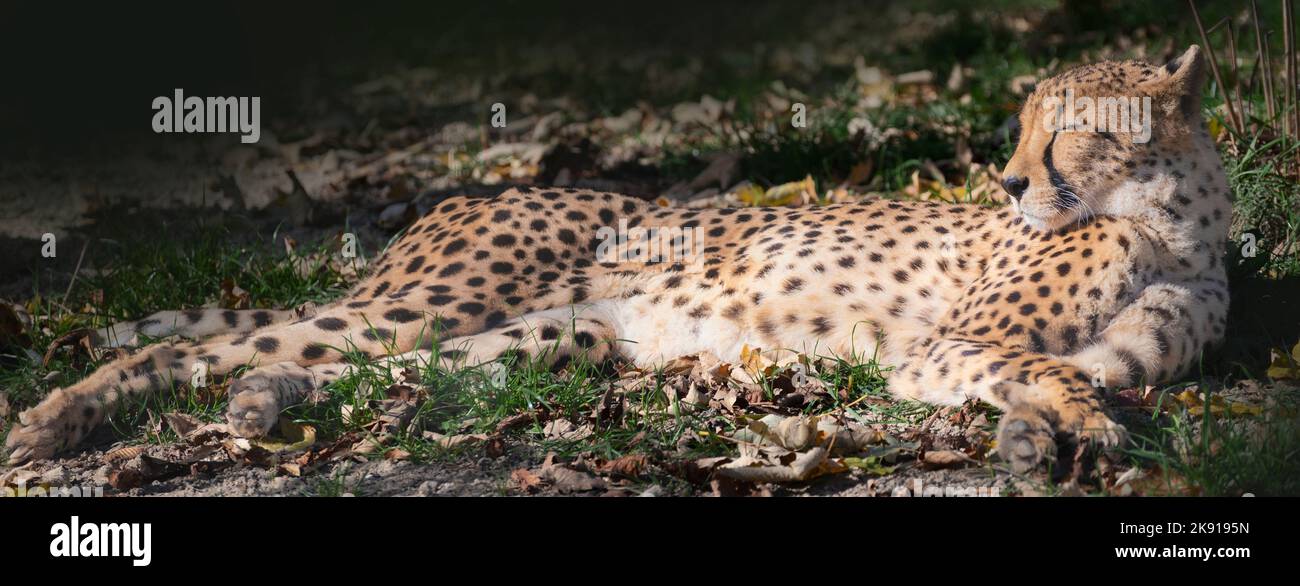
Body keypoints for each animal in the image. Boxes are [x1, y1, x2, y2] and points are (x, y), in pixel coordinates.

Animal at [7, 48, 1227, 475]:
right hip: (437, 301)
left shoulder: (1085, 356)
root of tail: (469, 192)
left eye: (1069, 128)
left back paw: (267, 402)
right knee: (206, 349)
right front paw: (1068, 431)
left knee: (356, 372)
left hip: (558, 337)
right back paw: (53, 421)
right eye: (1022, 128)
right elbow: (1049, 369)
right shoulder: (941, 346)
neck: (1172, 222)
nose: (1010, 183)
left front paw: (1039, 437)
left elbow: (1074, 378)